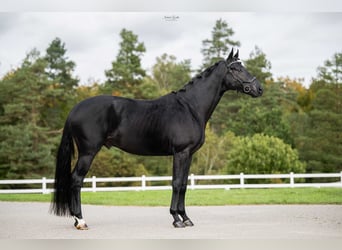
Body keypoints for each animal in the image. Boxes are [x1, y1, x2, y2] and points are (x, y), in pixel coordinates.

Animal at [51, 47, 264, 229]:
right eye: (236, 68)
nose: (259, 89)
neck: (190, 107)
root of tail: (75, 109)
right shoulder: (180, 153)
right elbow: (176, 183)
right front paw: (176, 219)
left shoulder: (189, 155)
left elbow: (184, 185)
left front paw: (186, 218)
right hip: (88, 152)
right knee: (76, 180)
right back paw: (80, 220)